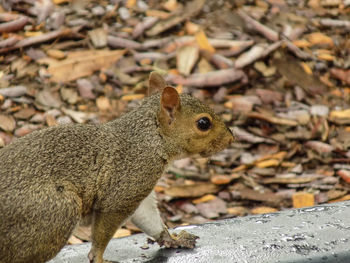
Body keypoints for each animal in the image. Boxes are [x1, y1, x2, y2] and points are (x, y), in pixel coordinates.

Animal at [0, 72, 235, 263]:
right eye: (203, 123)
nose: (231, 139)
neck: (148, 139)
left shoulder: (139, 190)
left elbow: (148, 217)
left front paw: (173, 238)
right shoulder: (124, 188)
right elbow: (104, 230)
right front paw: (98, 258)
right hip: (54, 211)